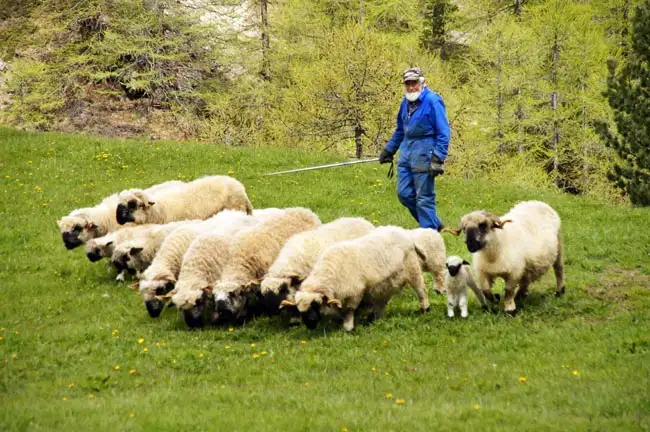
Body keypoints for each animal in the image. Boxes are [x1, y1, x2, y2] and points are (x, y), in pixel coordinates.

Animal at [280, 224, 430, 332]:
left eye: (316, 304)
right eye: (299, 309)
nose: (310, 324)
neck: (329, 274)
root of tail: (403, 232)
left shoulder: (355, 294)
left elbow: (349, 311)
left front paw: (348, 328)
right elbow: (340, 311)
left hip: (412, 269)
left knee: (421, 289)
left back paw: (425, 309)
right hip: (386, 283)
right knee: (382, 300)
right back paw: (375, 318)